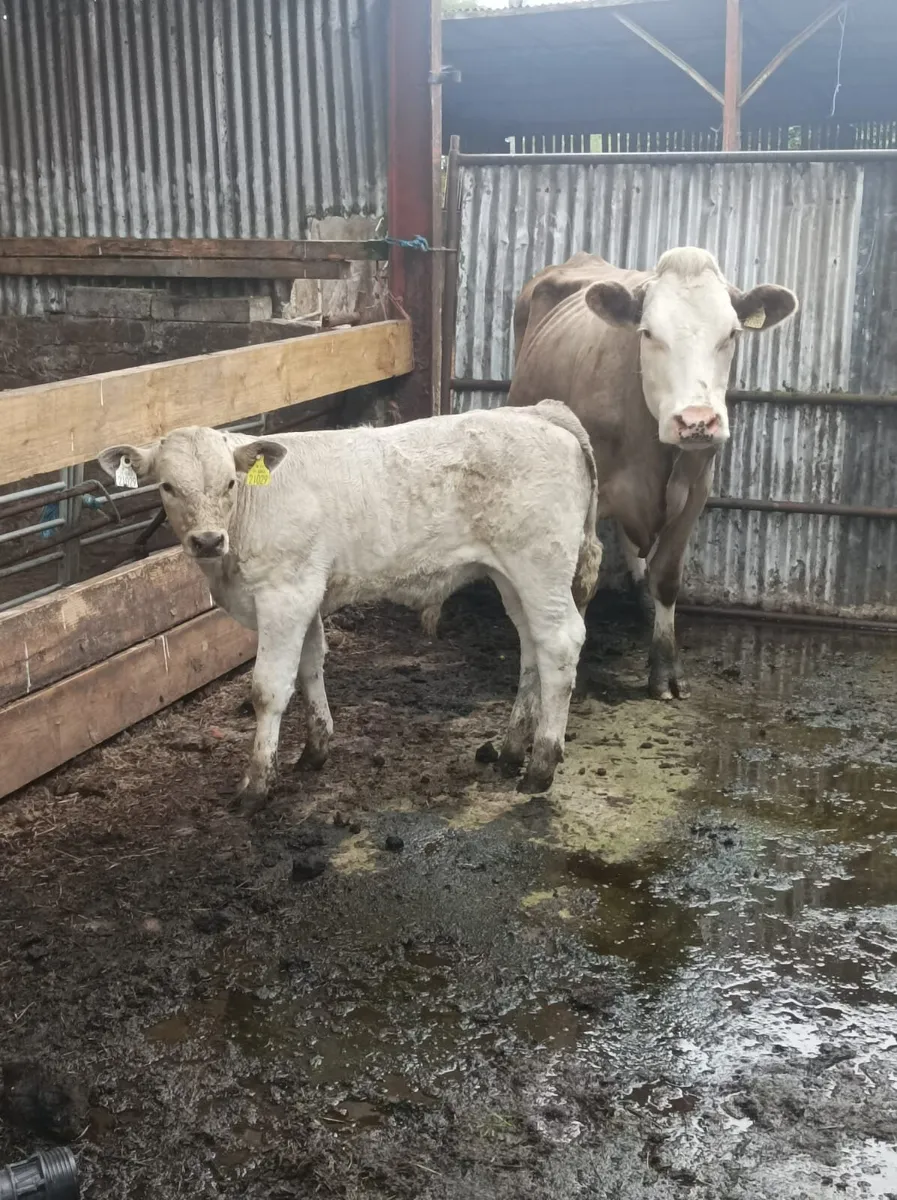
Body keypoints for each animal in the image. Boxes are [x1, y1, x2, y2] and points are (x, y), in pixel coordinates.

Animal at [99, 400, 602, 813]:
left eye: (228, 482)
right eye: (167, 486)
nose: (207, 540)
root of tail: (538, 412)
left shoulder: (285, 592)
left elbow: (268, 689)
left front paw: (256, 786)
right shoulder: (306, 592)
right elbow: (309, 668)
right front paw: (315, 749)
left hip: (540, 563)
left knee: (560, 644)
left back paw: (541, 766)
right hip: (512, 575)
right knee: (532, 646)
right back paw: (513, 750)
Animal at [504, 247, 799, 700]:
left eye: (731, 333)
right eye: (647, 333)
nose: (696, 421)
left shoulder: (696, 489)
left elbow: (667, 575)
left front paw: (665, 668)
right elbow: (583, 580)